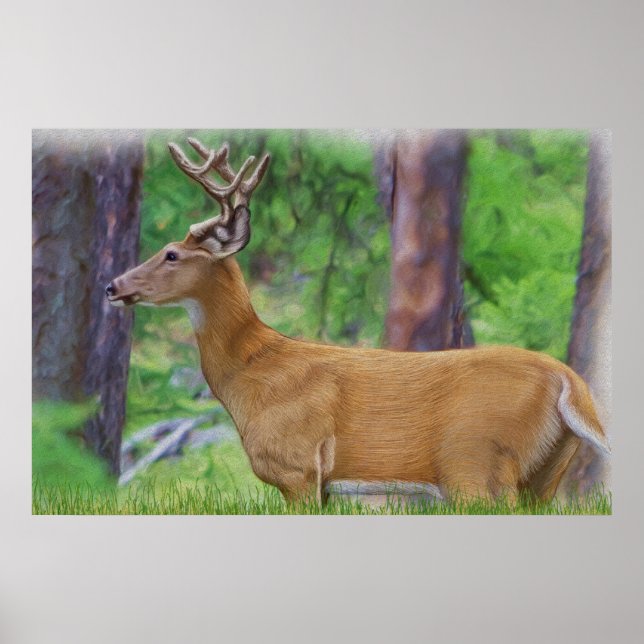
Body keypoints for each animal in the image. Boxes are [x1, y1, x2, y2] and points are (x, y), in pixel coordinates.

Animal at [106, 138, 610, 505]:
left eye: (171, 254)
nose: (112, 286)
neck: (252, 371)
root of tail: (570, 380)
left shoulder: (298, 467)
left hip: (477, 467)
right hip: (544, 473)